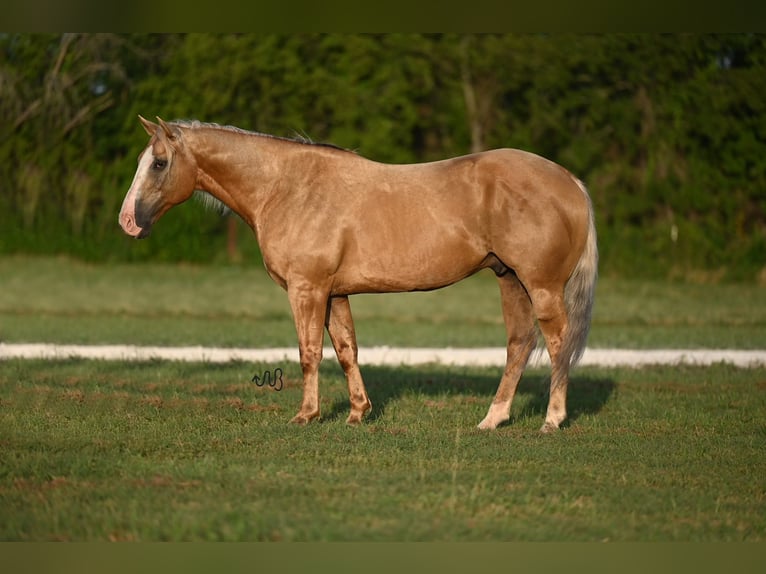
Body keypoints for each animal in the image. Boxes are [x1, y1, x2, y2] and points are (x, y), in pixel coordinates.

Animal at [121, 116, 600, 432]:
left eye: (159, 163)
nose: (128, 221)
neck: (287, 187)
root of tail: (570, 181)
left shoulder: (307, 289)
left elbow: (309, 352)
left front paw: (307, 415)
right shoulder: (334, 293)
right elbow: (346, 349)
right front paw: (357, 412)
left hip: (540, 286)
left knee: (557, 343)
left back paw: (552, 420)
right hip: (509, 280)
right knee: (519, 344)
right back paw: (492, 419)